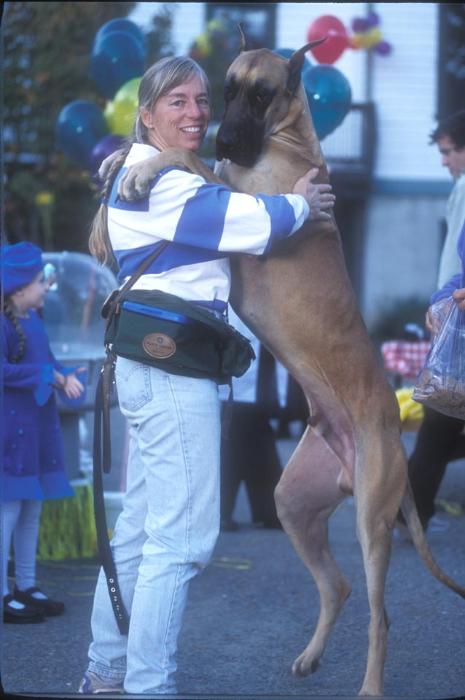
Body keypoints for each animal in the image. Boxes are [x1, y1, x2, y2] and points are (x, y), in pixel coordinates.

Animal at [117, 42, 464, 696]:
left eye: (263, 94)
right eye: (225, 90)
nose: (226, 137)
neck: (287, 137)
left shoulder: (249, 203)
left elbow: (188, 160)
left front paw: (142, 169)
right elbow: (192, 160)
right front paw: (120, 160)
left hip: (372, 519)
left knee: (380, 612)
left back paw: (370, 685)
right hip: (295, 504)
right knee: (338, 585)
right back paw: (310, 655)